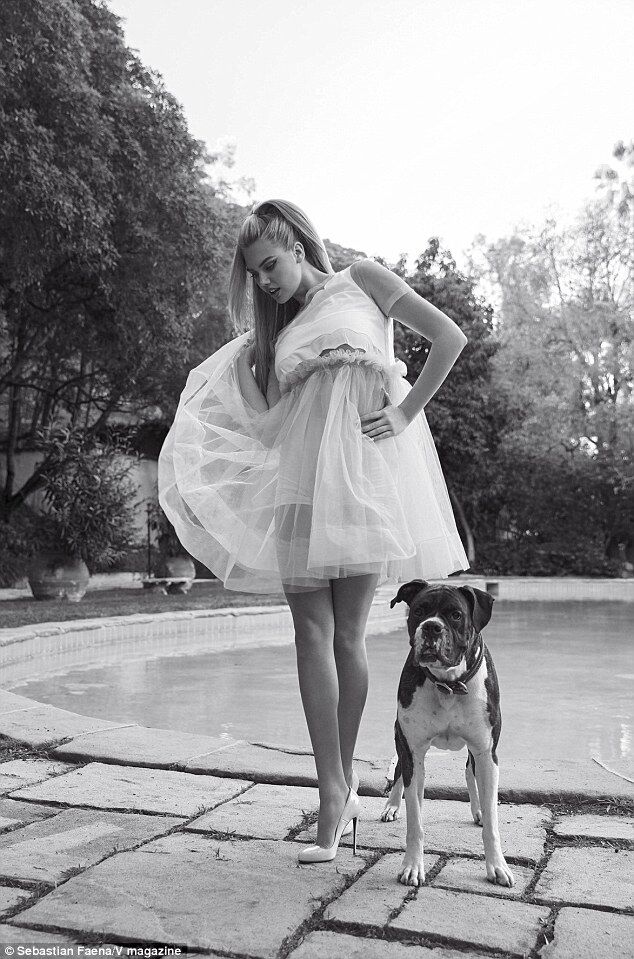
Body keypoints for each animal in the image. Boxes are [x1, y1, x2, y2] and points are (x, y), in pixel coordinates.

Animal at [381, 579, 514, 888]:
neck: (448, 684)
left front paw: (497, 866)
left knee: (469, 772)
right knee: (400, 775)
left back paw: (477, 809)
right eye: (419, 610)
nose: (432, 627)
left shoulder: (486, 753)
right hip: (401, 740)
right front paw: (412, 866)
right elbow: (415, 819)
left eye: (455, 615)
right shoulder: (412, 749)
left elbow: (492, 821)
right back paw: (392, 805)